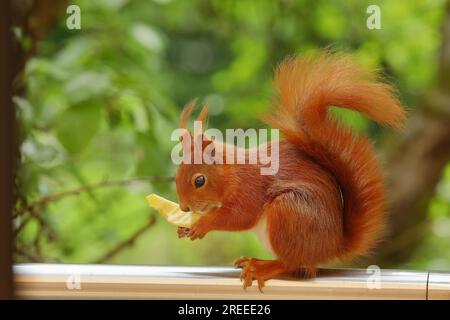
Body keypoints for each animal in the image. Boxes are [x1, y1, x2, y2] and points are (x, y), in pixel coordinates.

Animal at [173, 52, 404, 290]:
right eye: (177, 176)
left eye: (199, 180)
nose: (184, 207)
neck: (232, 172)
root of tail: (332, 247)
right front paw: (185, 227)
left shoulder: (249, 188)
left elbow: (240, 217)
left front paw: (203, 224)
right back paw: (254, 260)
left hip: (289, 212)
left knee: (292, 263)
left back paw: (262, 267)